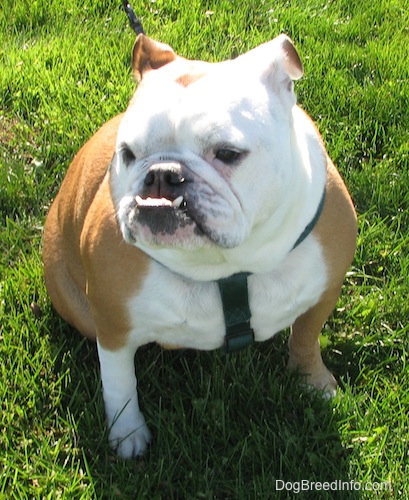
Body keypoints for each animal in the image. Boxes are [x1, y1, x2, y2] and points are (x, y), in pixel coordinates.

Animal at [42, 33, 356, 458]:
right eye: (128, 154)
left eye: (227, 153)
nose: (161, 175)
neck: (226, 265)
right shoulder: (112, 324)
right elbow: (120, 384)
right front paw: (127, 434)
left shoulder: (324, 290)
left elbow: (306, 337)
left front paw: (312, 381)